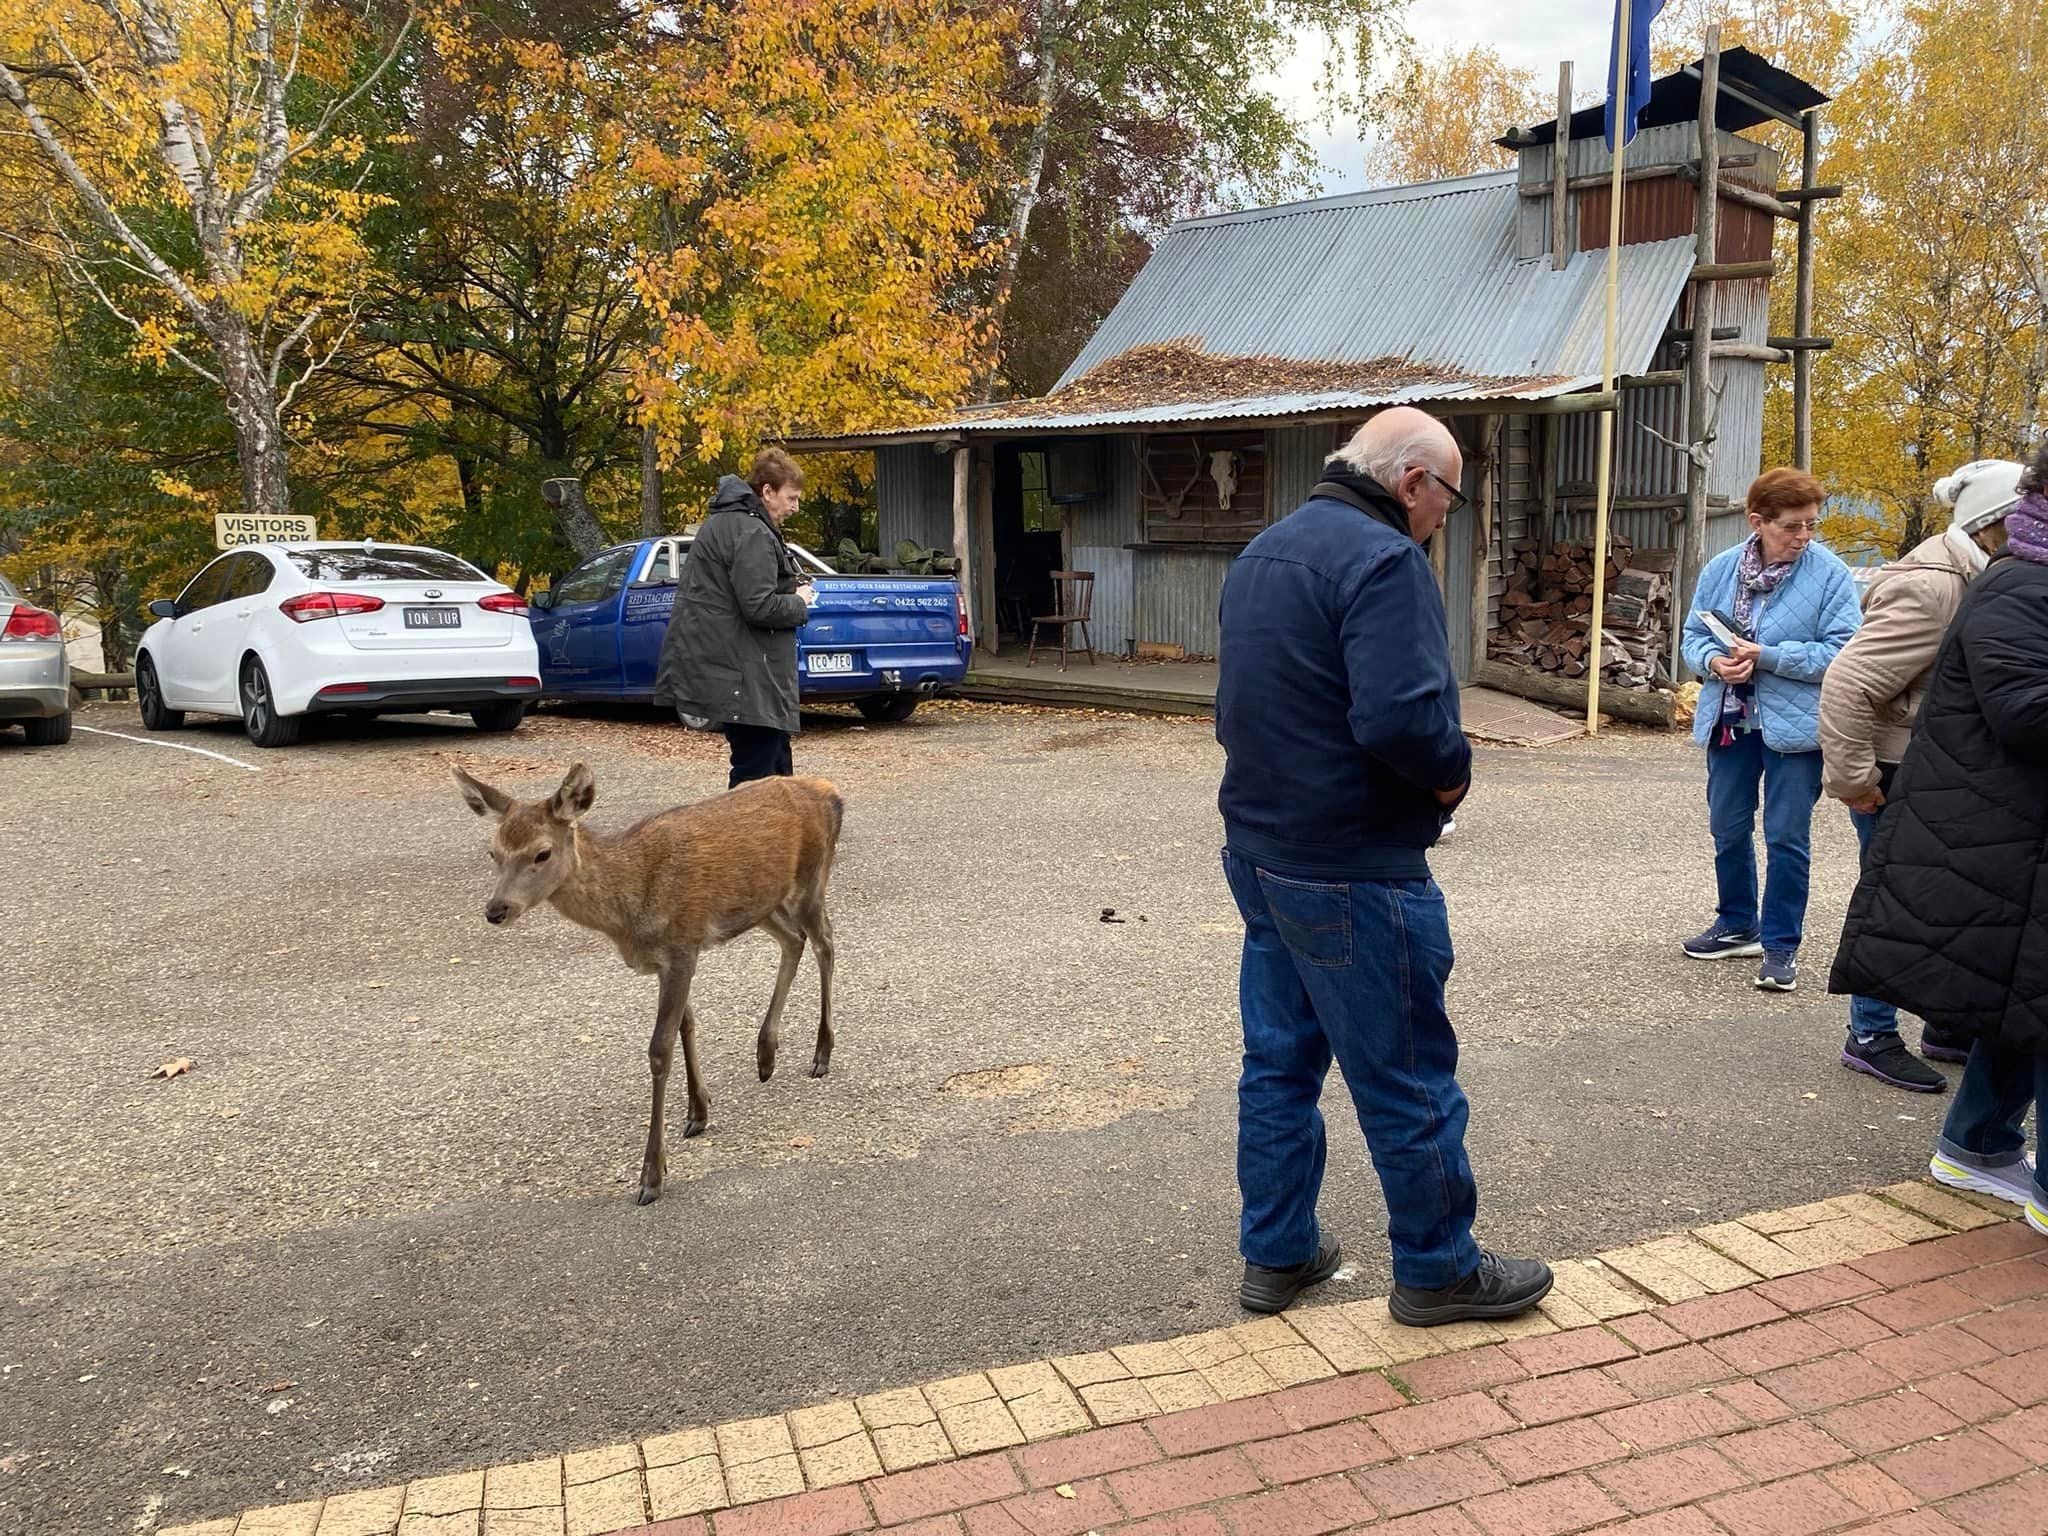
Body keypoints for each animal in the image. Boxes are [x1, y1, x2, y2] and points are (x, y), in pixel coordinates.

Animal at [452, 765, 843, 1212]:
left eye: (542, 853)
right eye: (493, 853)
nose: (496, 910)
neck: (629, 908)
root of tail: (831, 792)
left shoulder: (681, 949)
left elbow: (659, 1048)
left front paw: (651, 1176)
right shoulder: (669, 959)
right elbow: (686, 1024)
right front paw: (698, 1111)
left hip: (811, 879)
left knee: (825, 942)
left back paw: (821, 1053)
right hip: (762, 904)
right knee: (793, 940)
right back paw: (765, 1055)